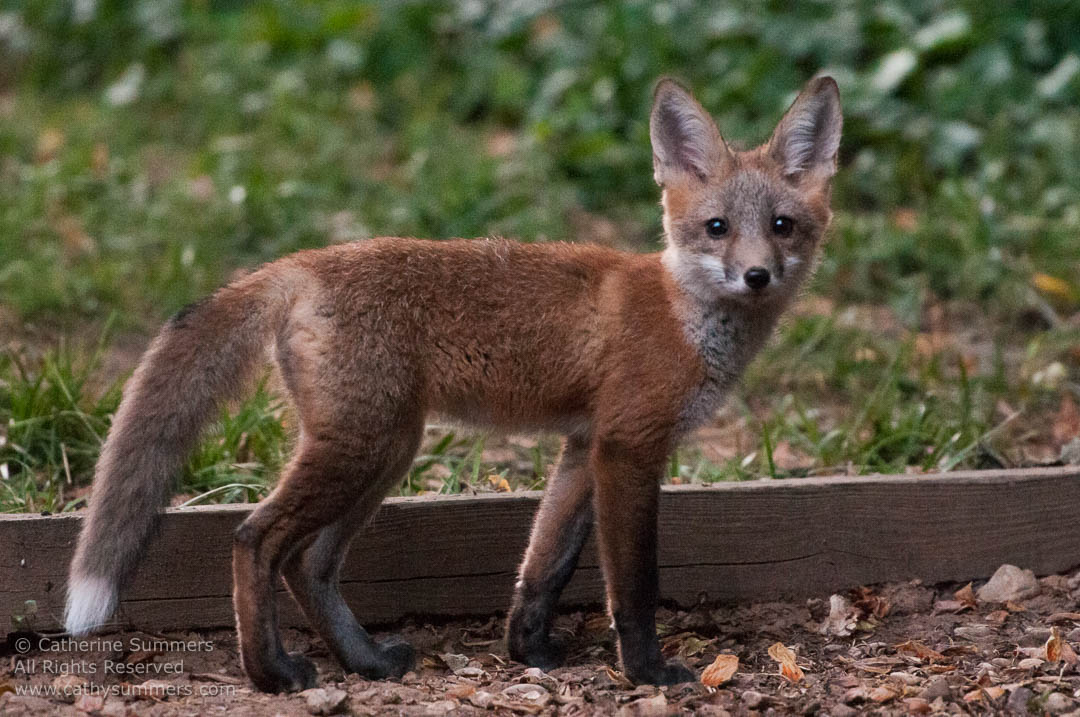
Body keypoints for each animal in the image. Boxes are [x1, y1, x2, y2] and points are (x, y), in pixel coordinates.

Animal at [64, 76, 842, 692]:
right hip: (362, 449)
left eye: (782, 225)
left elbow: (545, 564)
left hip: (385, 452)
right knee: (255, 539)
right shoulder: (629, 447)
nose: (757, 276)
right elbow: (633, 583)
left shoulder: (583, 446)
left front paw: (528, 652)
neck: (684, 315)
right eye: (717, 227)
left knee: (309, 564)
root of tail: (300, 263)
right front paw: (647, 671)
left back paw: (365, 661)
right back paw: (271, 673)